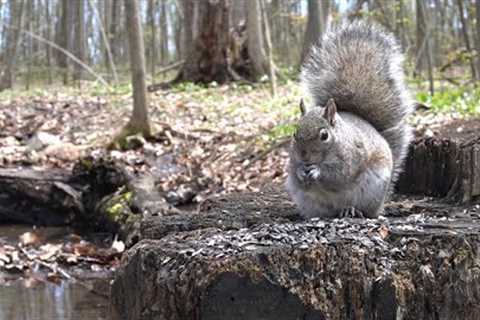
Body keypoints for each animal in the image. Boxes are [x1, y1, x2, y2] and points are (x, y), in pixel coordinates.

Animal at [286, 21, 414, 219]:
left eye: (324, 135)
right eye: (294, 133)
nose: (304, 156)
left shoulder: (352, 156)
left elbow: (338, 176)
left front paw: (316, 171)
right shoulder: (292, 161)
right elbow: (295, 173)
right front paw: (301, 172)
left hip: (372, 191)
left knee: (364, 210)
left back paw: (351, 210)